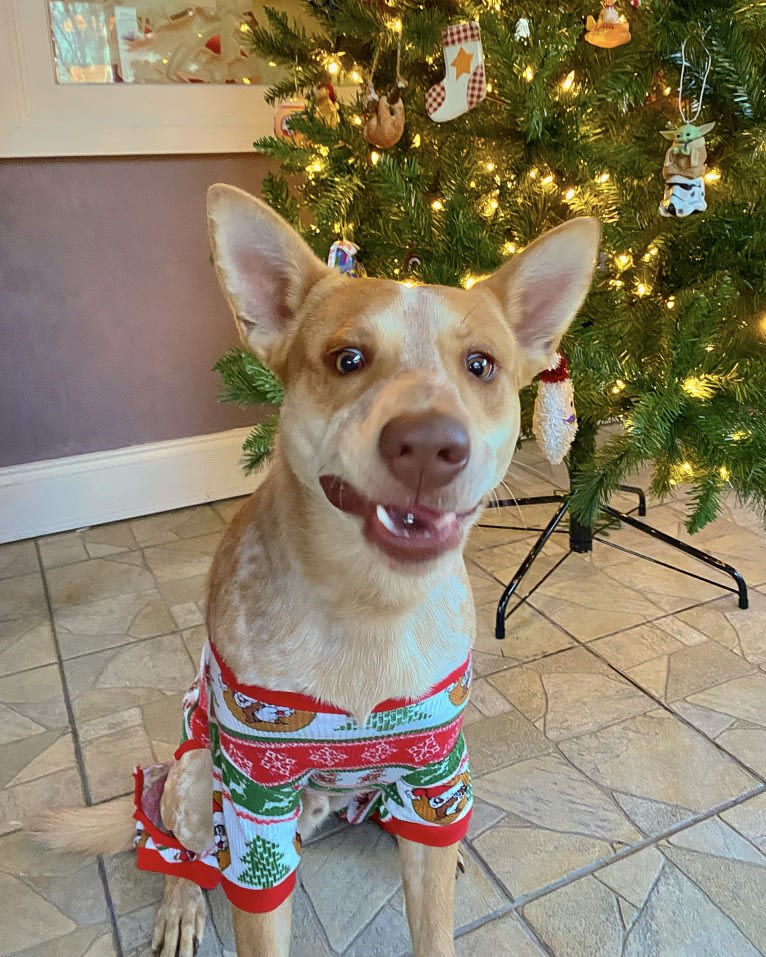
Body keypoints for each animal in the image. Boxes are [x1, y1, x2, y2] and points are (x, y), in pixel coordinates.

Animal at [37, 183, 600, 952]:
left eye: (481, 365)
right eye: (347, 358)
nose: (430, 446)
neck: (372, 607)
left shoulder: (435, 764)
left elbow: (434, 916)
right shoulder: (255, 794)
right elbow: (255, 900)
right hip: (194, 776)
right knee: (168, 839)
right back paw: (181, 898)